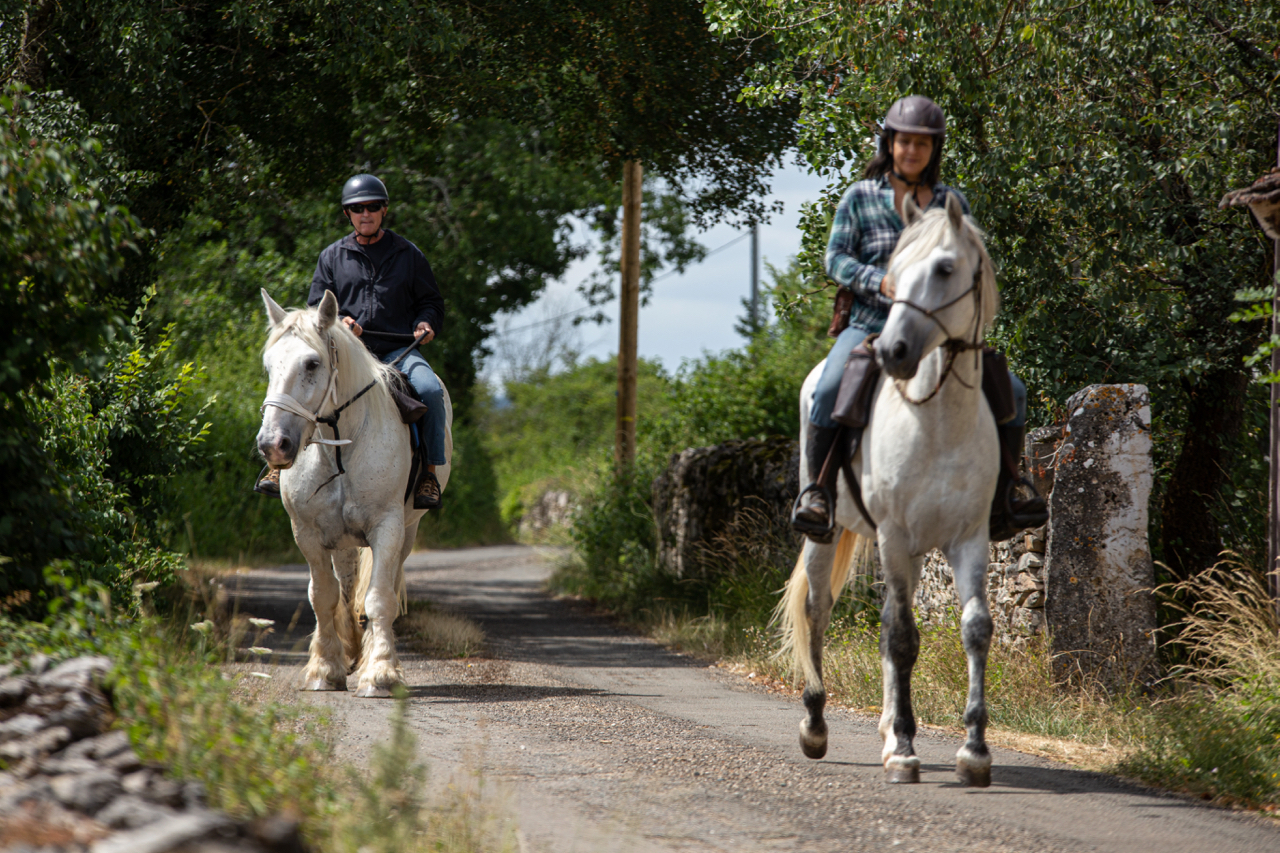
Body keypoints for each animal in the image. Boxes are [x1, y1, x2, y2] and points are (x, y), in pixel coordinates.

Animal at [255, 289, 453, 698]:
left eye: (312, 363)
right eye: (269, 366)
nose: (272, 445)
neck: (340, 445)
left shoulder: (388, 529)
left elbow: (379, 598)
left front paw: (380, 673)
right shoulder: (307, 533)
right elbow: (323, 596)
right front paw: (325, 669)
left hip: (407, 531)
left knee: (379, 587)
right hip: (342, 541)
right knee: (345, 590)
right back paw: (350, 654)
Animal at [778, 191, 1001, 786]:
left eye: (945, 268)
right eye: (894, 274)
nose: (895, 352)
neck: (938, 421)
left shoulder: (967, 538)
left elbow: (974, 628)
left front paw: (973, 751)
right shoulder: (893, 536)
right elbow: (901, 636)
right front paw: (904, 750)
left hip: (915, 550)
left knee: (882, 623)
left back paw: (882, 728)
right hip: (828, 533)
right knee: (819, 610)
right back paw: (816, 726)